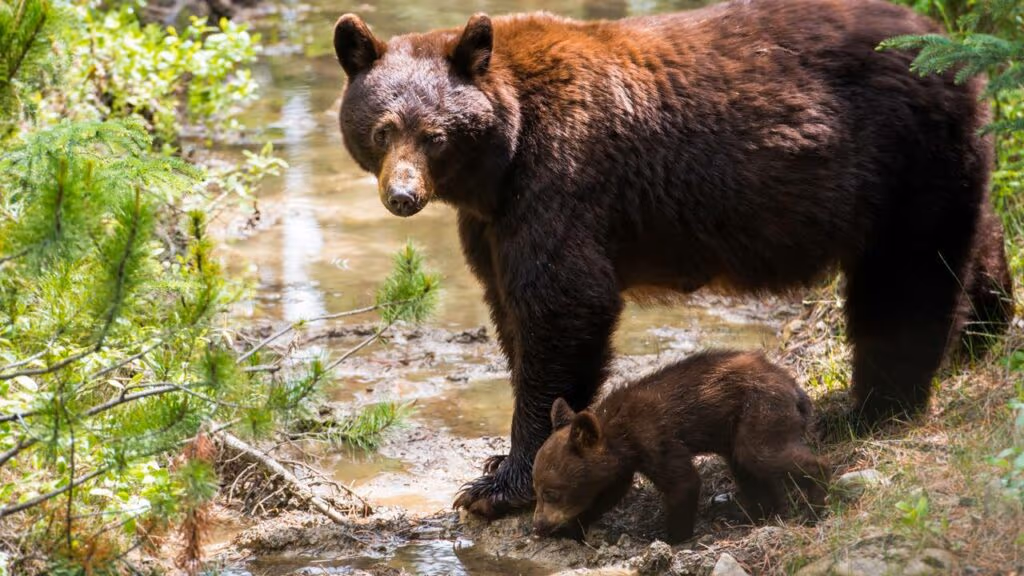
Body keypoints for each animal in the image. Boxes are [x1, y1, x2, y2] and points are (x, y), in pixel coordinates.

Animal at [331, 0, 1015, 517]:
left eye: (435, 134)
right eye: (382, 129)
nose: (402, 196)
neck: (504, 155)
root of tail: (950, 46)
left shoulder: (560, 180)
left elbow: (563, 302)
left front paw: (498, 483)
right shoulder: (490, 221)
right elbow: (508, 307)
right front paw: (501, 462)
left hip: (900, 158)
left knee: (906, 277)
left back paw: (877, 407)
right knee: (970, 241)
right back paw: (984, 331)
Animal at [531, 350, 830, 543]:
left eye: (552, 493)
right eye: (537, 490)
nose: (538, 525)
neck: (621, 437)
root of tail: (795, 389)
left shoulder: (654, 438)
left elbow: (683, 482)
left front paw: (671, 536)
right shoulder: (621, 465)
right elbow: (607, 494)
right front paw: (570, 527)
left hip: (759, 412)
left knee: (762, 455)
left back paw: (815, 500)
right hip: (738, 427)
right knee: (747, 467)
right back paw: (753, 512)